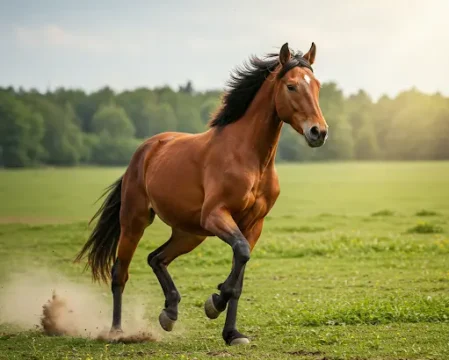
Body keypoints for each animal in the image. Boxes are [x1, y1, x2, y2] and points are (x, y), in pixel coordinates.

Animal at [75, 42, 328, 346]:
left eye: (317, 86)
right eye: (291, 86)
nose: (318, 132)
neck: (250, 158)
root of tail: (145, 150)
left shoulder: (253, 225)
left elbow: (240, 272)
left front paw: (232, 333)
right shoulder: (216, 215)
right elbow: (240, 253)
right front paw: (214, 303)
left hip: (189, 233)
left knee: (156, 258)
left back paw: (170, 312)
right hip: (135, 222)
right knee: (119, 272)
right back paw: (116, 331)